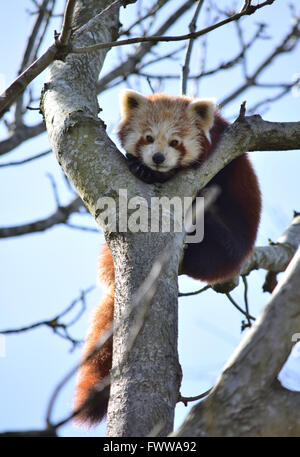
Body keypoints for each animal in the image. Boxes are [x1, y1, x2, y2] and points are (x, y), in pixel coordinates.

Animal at [74, 91, 262, 426]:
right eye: (148, 138)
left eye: (175, 142)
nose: (158, 158)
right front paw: (138, 165)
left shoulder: (219, 158)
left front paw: (147, 170)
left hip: (227, 245)